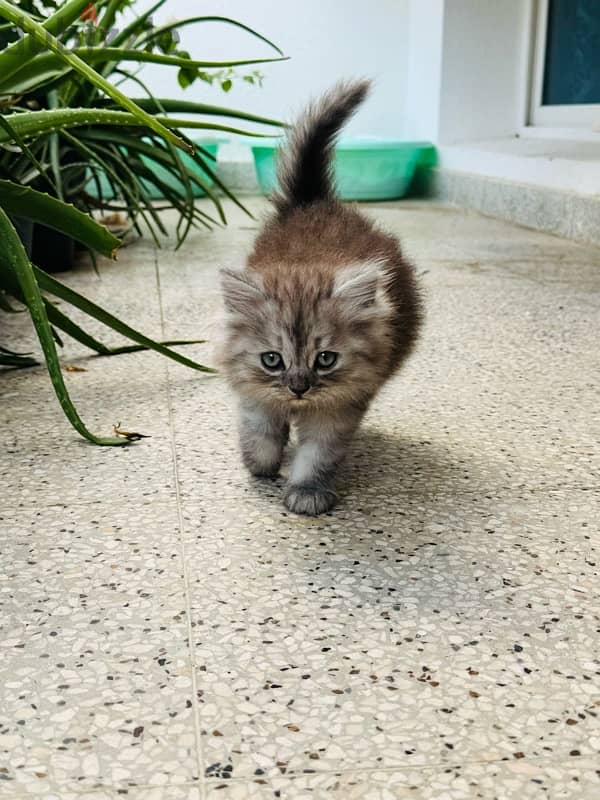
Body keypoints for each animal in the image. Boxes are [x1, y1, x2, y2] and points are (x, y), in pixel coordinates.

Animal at [220, 81, 422, 516]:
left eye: (325, 359)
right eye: (272, 359)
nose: (299, 387)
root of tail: (316, 202)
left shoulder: (340, 407)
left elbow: (317, 453)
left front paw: (306, 491)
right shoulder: (254, 391)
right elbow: (259, 432)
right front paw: (260, 464)